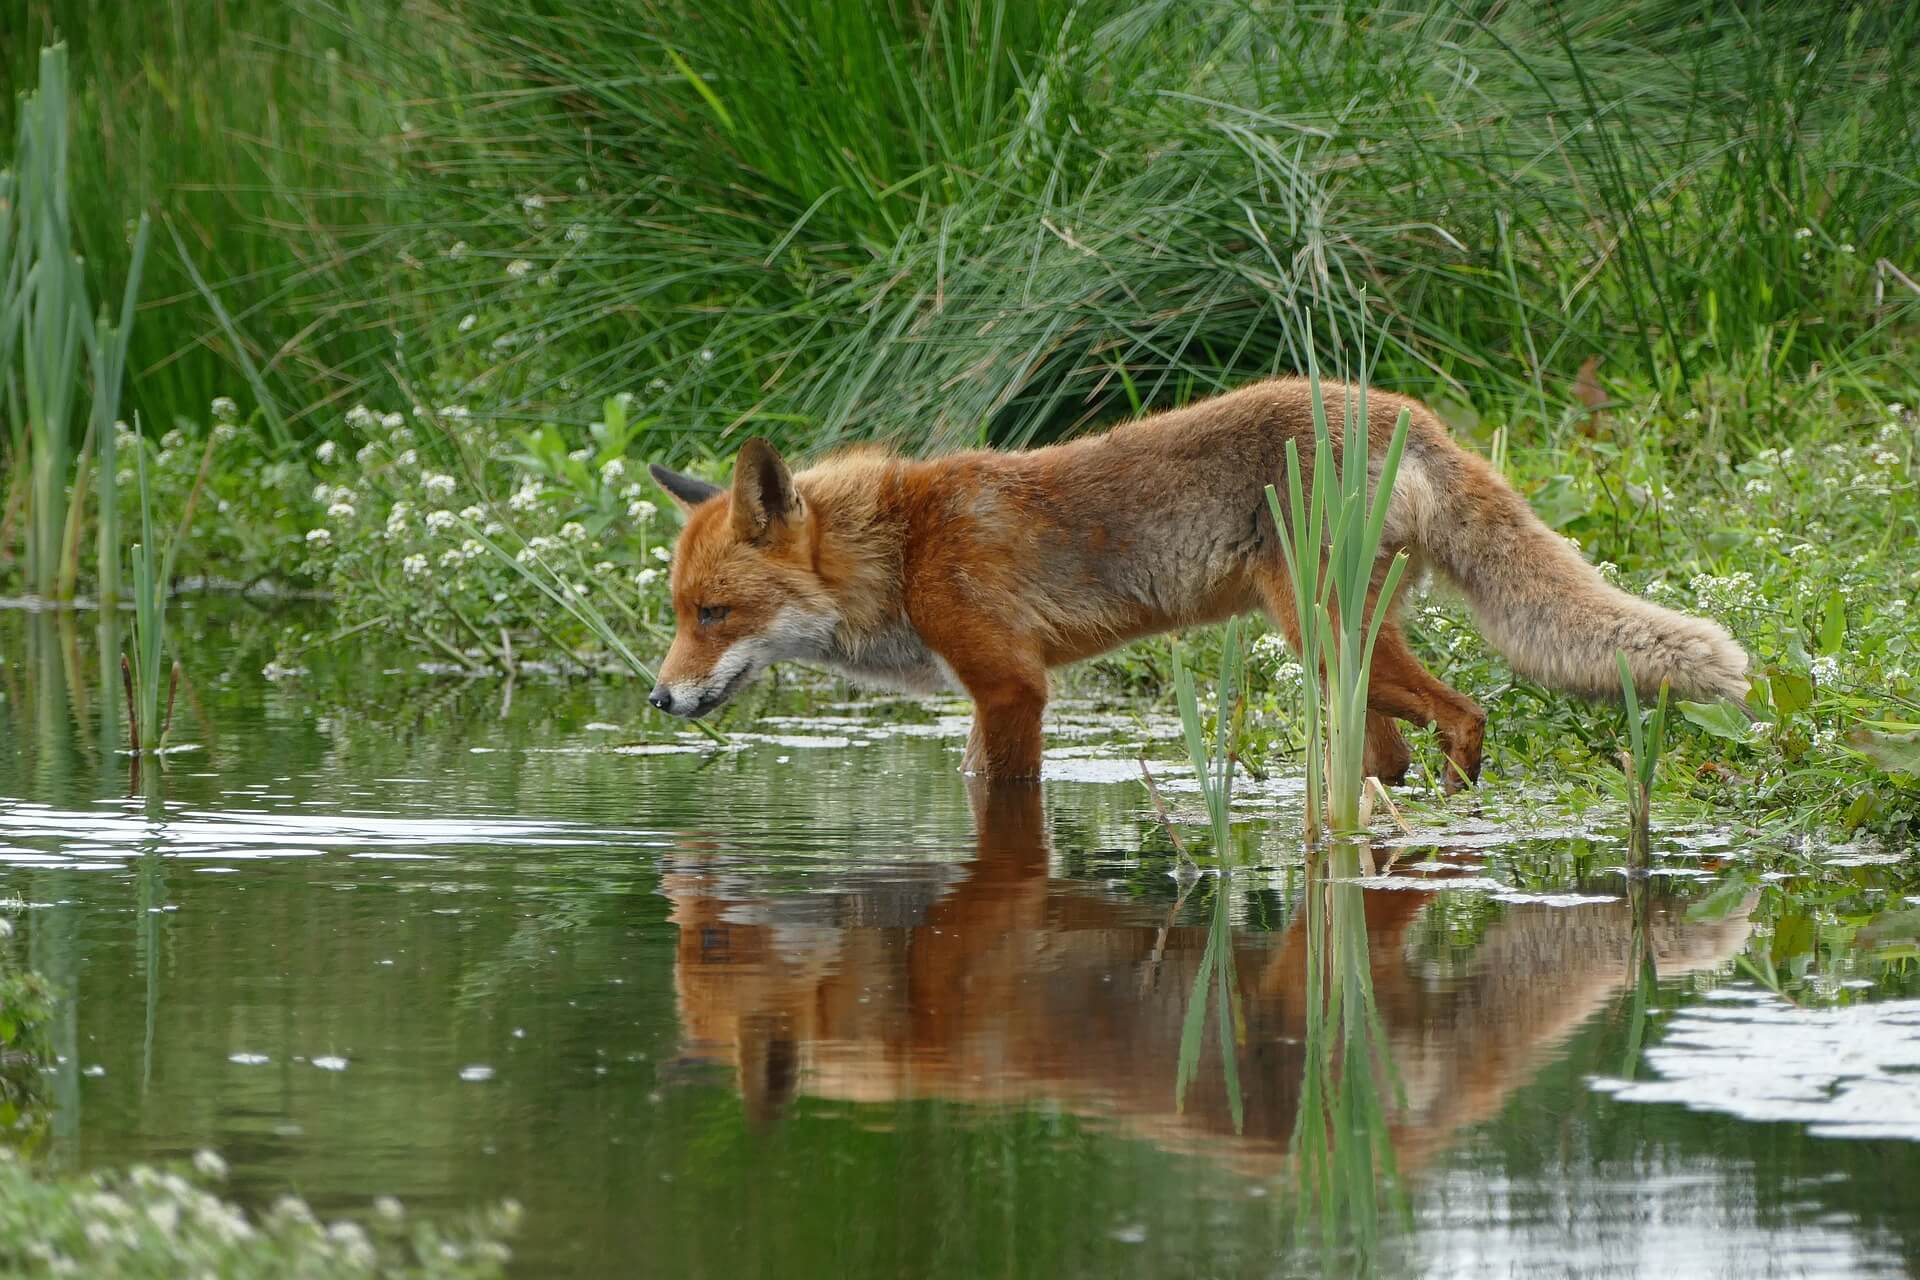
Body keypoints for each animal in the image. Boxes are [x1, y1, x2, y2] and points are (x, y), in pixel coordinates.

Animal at [645, 378, 1749, 788]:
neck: (902, 548)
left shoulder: (1012, 687)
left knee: (1468, 713)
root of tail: (1406, 411)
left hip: (1319, 635)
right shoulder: (990, 693)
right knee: (1396, 747)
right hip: (1344, 658)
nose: (658, 697)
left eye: (716, 613)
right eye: (679, 615)